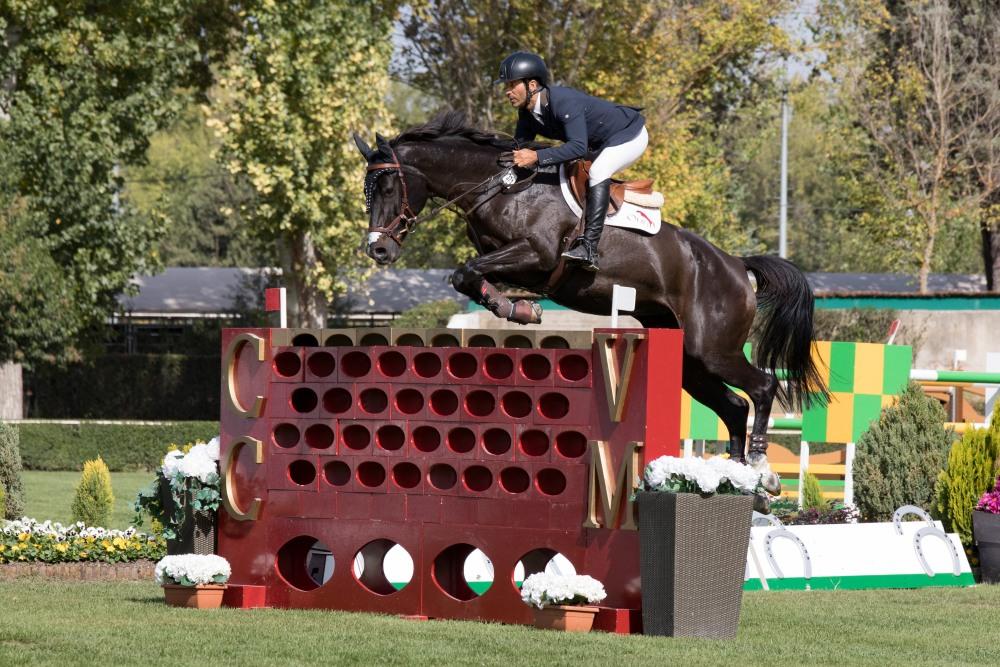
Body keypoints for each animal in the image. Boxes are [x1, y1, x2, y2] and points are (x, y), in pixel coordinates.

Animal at [352, 109, 828, 496]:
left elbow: (467, 272)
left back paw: (762, 469)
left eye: (389, 185)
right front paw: (518, 309)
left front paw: (518, 310)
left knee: (762, 387)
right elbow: (468, 276)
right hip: (688, 359)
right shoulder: (512, 264)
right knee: (734, 405)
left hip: (714, 350)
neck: (502, 188)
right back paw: (736, 475)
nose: (378, 250)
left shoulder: (537, 254)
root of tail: (737, 266)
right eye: (368, 190)